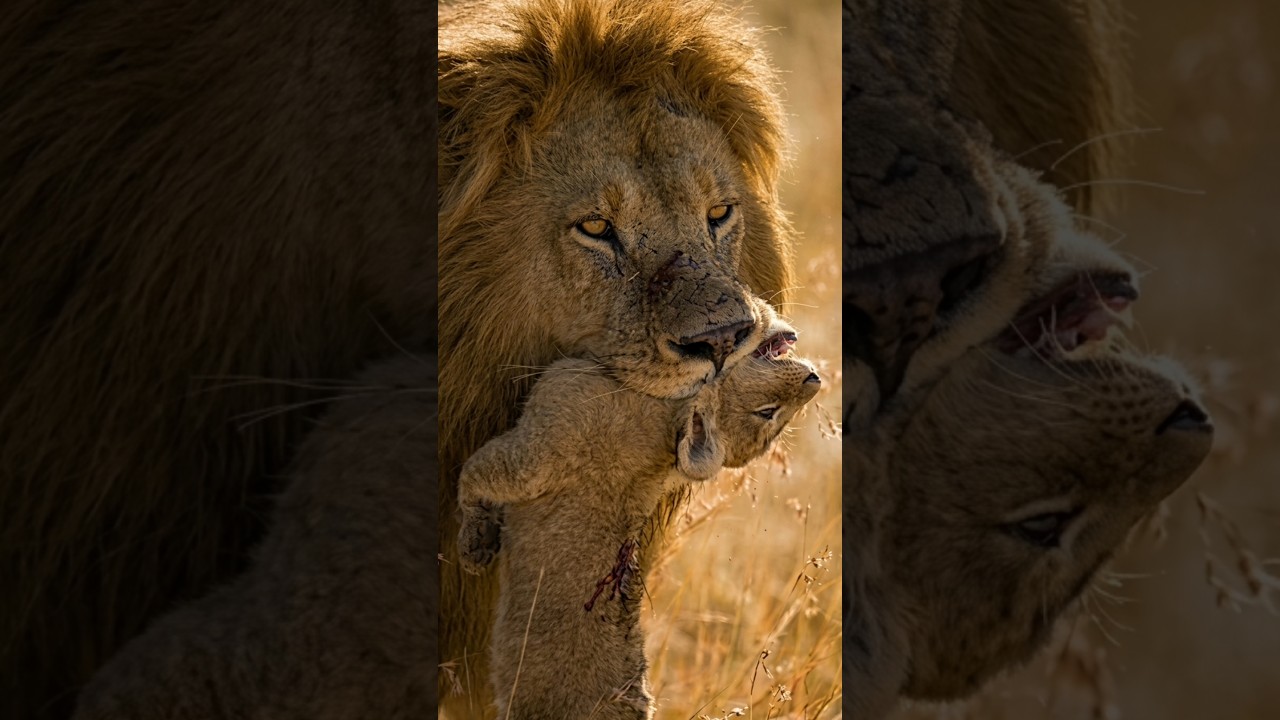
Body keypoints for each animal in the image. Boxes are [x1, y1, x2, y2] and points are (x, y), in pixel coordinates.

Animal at [455, 320, 819, 719]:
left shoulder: (535, 455)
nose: (816, 379)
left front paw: (474, 544)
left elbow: (475, 474)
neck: (667, 411)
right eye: (769, 413)